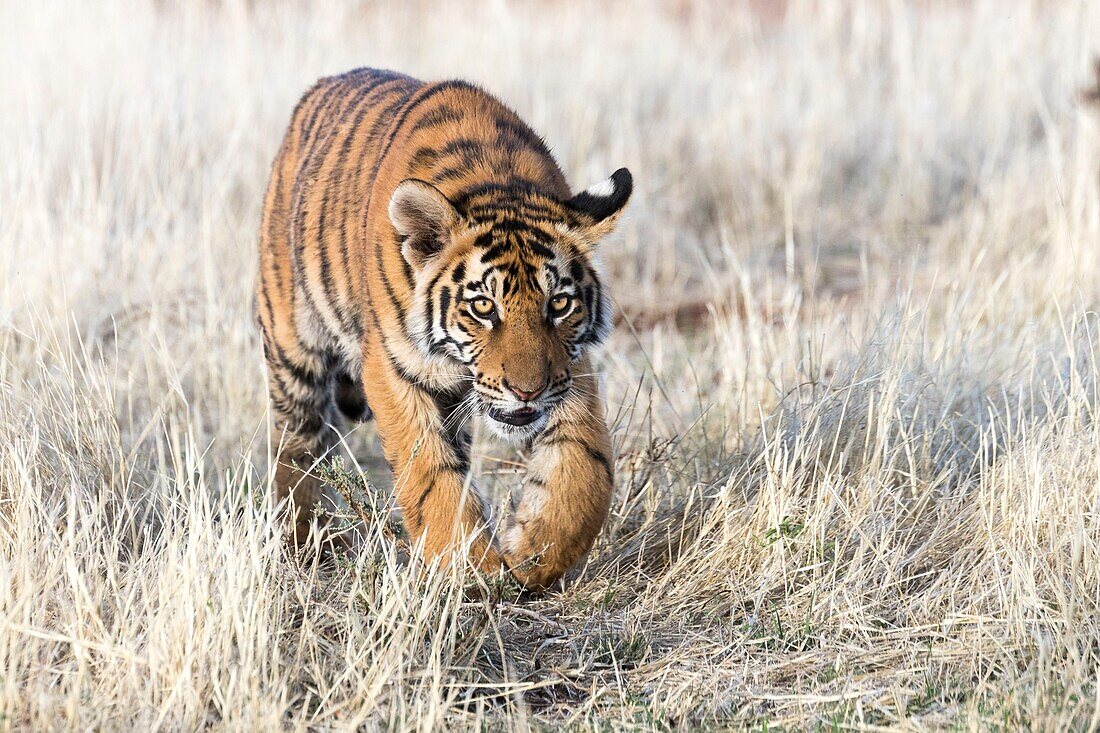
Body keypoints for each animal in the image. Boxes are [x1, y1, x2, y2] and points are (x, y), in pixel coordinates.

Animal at [255, 65, 629, 585]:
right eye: (484, 307)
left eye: (558, 304)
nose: (527, 392)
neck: (499, 182)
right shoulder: (392, 368)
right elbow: (430, 473)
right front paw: (469, 569)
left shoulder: (570, 371)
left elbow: (585, 471)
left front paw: (535, 554)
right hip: (293, 348)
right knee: (298, 445)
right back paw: (305, 542)